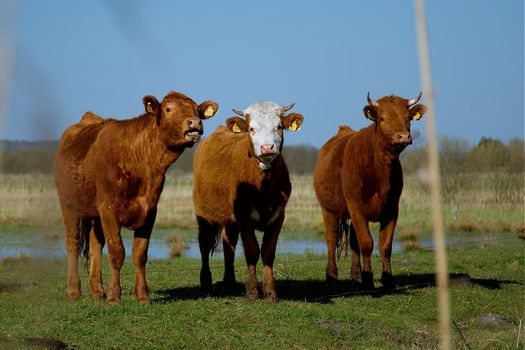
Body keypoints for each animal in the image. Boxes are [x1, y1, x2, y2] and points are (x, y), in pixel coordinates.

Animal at [312, 91, 426, 288]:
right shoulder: (356, 207)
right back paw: (331, 275)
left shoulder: (392, 209)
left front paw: (387, 280)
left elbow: (385, 245)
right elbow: (367, 243)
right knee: (331, 239)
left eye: (407, 118)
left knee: (353, 241)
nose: (403, 136)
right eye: (382, 118)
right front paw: (368, 280)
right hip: (329, 209)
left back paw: (356, 274)